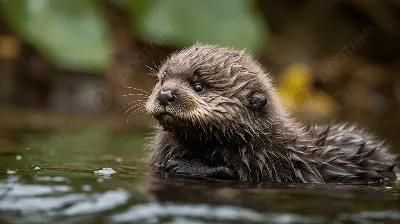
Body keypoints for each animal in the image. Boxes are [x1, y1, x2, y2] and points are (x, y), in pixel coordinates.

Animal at [145, 43, 398, 184]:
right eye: (162, 80)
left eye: (198, 86)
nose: (165, 94)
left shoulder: (269, 159)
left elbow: (237, 171)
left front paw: (183, 165)